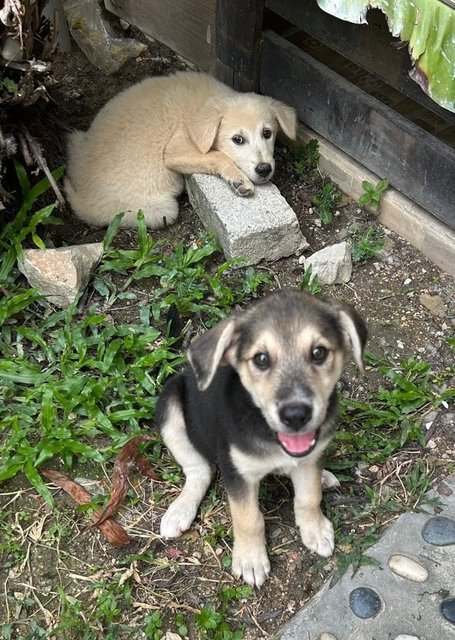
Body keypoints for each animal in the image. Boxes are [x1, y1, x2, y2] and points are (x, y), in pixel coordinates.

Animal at [66, 72, 298, 230]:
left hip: (76, 139)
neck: (206, 103)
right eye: (237, 140)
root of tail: (83, 201)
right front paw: (238, 180)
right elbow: (217, 156)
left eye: (267, 133)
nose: (264, 169)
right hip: (162, 209)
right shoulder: (175, 151)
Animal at [157, 292, 366, 588]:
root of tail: (186, 371)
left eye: (319, 353)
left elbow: (309, 496)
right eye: (261, 359)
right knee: (199, 470)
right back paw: (180, 510)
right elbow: (248, 518)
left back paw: (324, 476)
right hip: (170, 407)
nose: (295, 415)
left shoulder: (310, 457)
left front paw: (314, 528)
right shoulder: (237, 472)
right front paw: (250, 559)